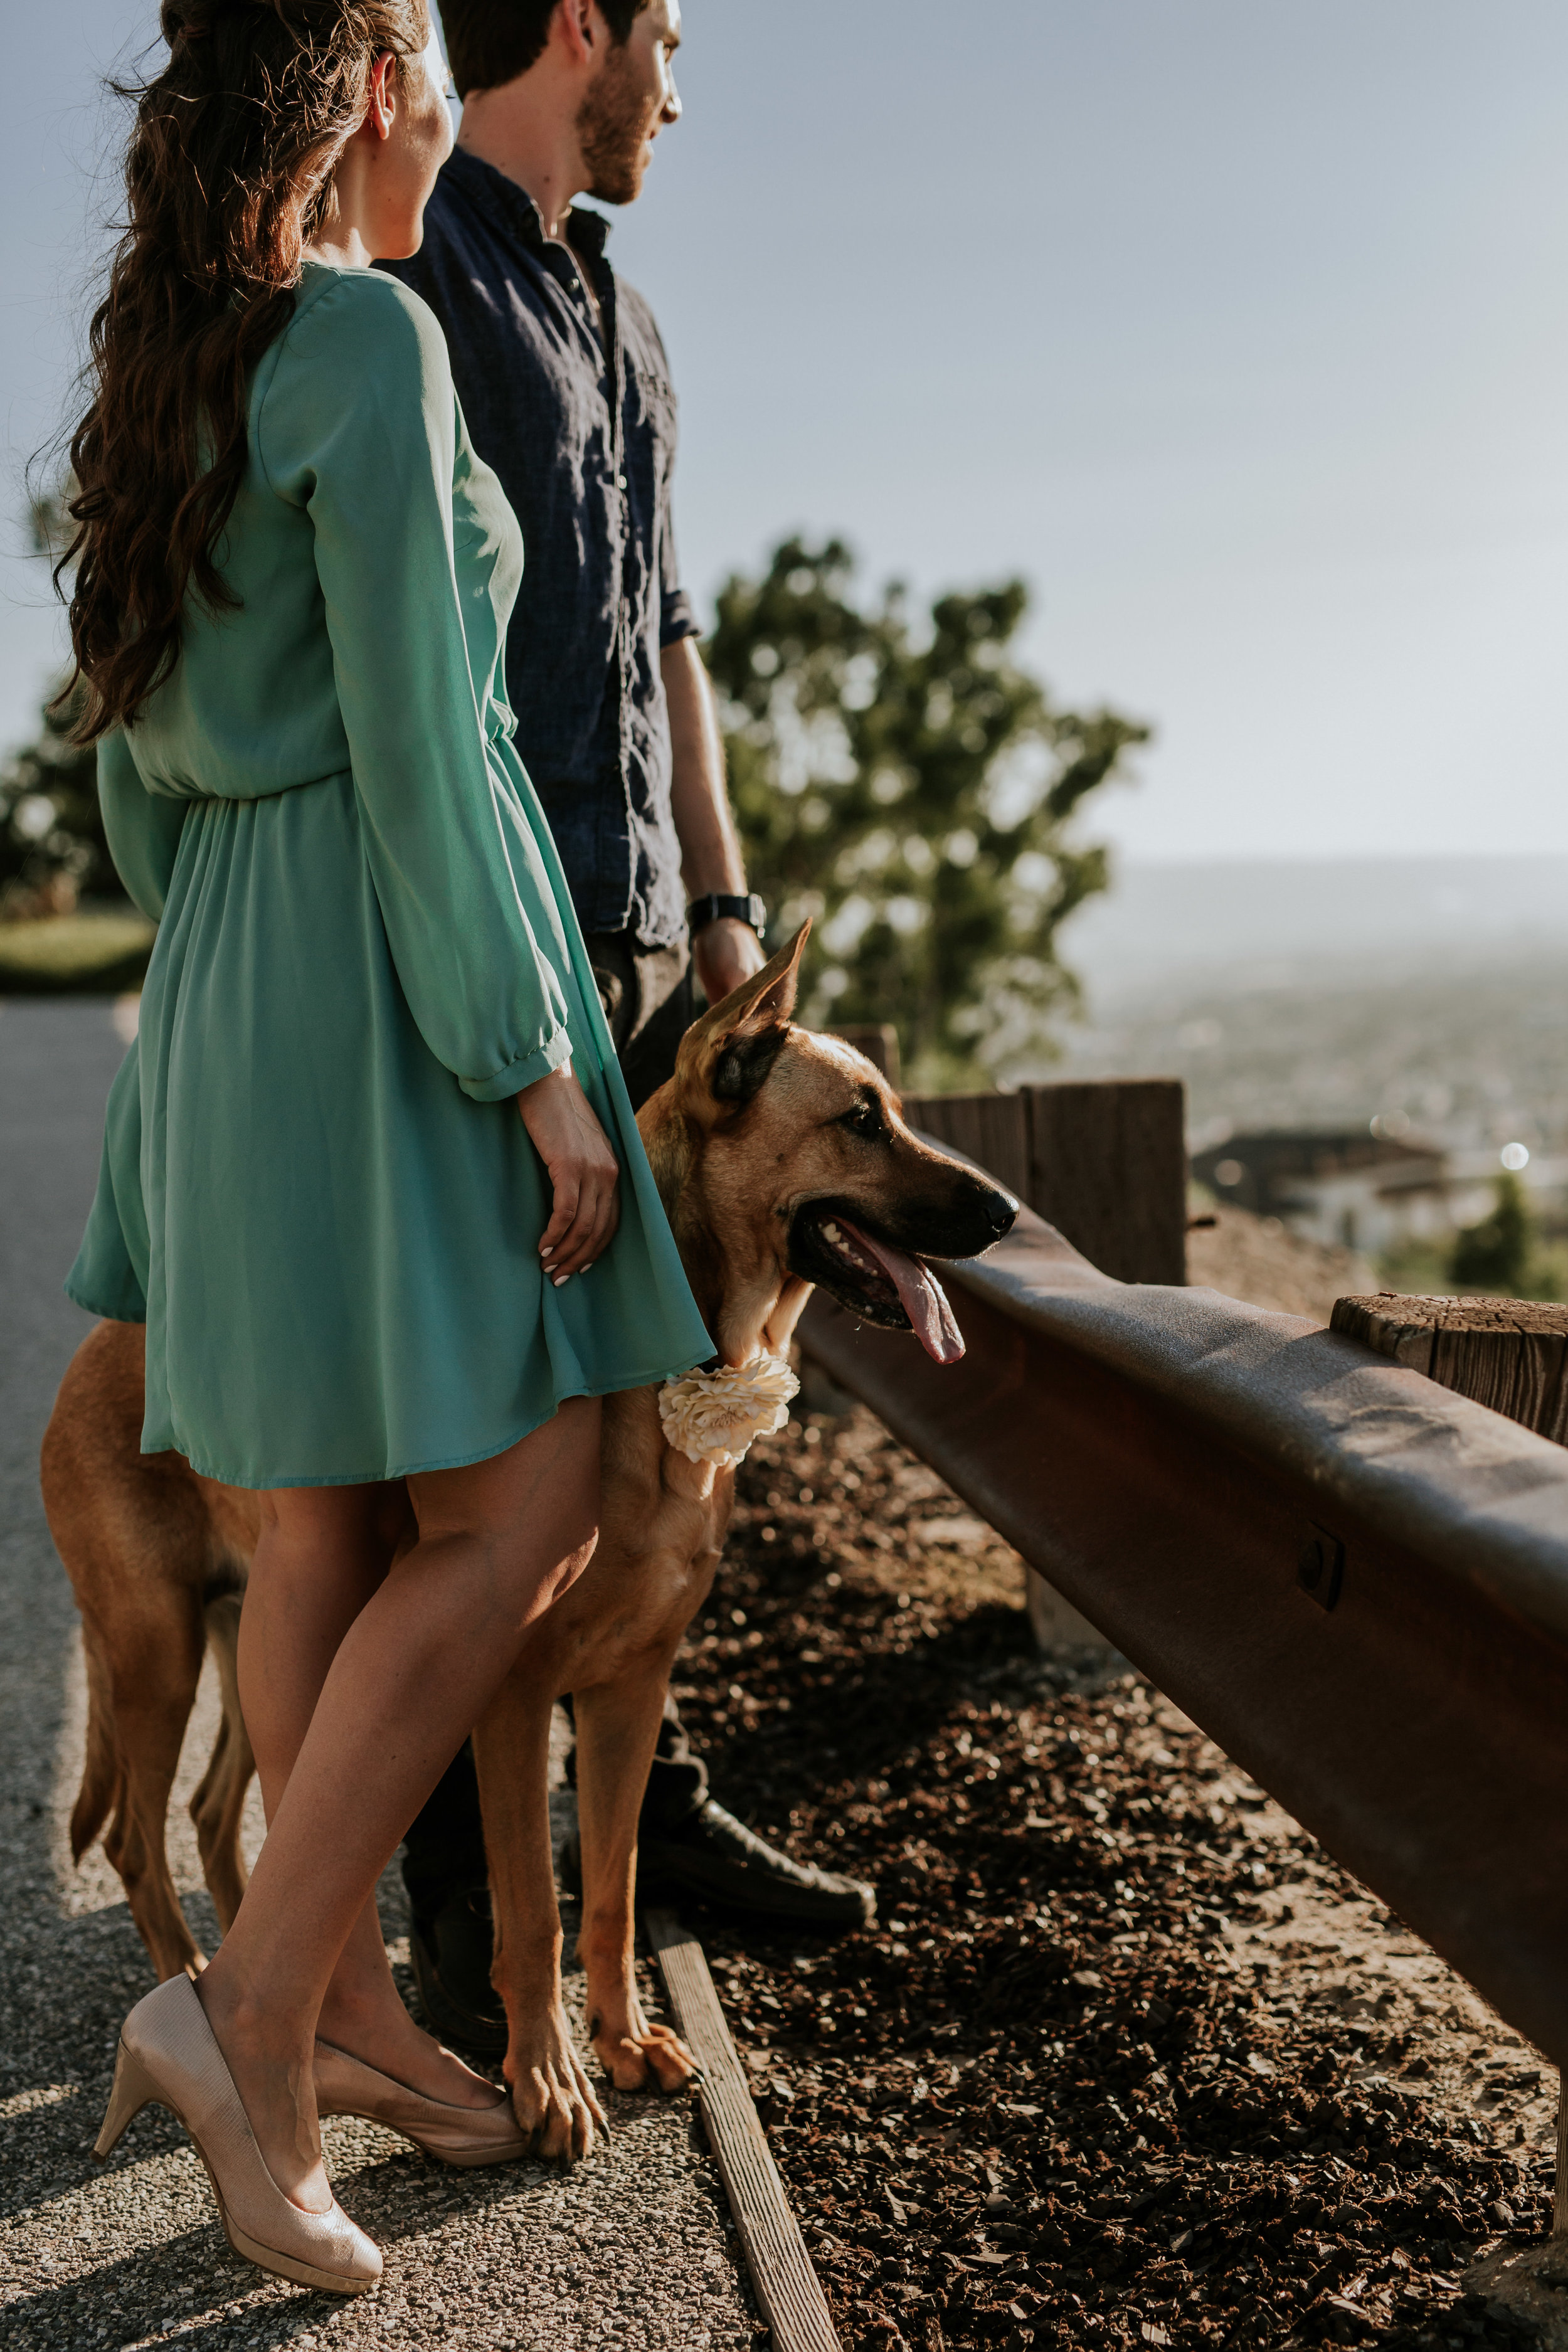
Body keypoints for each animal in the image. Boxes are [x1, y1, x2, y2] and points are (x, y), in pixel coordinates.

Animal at [43, 931, 1020, 2154]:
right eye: (859, 1120)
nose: (1008, 1212)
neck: (681, 1372)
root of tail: (96, 1350)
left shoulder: (629, 1693)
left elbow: (610, 1891)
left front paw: (623, 2040)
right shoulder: (507, 1695)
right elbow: (531, 1913)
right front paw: (549, 2079)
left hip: (243, 1624)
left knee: (218, 1811)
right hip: (154, 1653)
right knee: (139, 1835)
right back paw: (192, 1989)